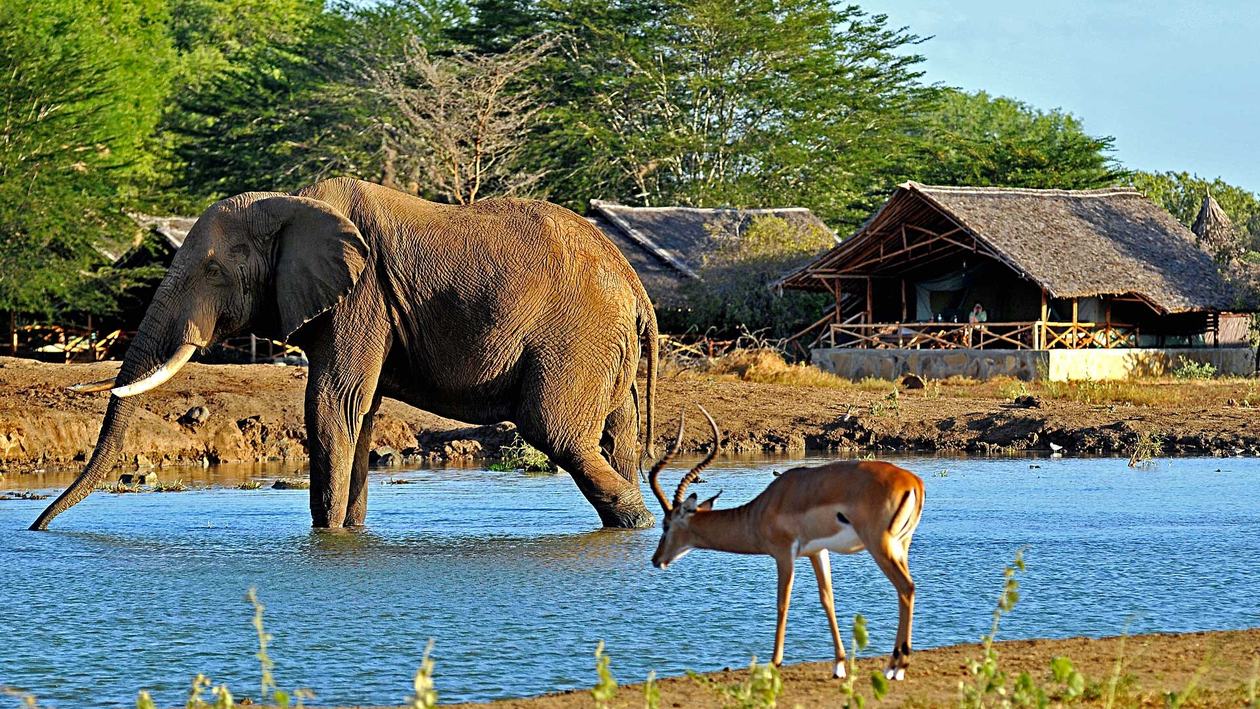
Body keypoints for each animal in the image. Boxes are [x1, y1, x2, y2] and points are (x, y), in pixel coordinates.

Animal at [31, 177, 659, 531]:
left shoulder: (362, 296)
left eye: (212, 271)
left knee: (554, 431)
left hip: (576, 337)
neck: (291, 205)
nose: (38, 529)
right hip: (606, 348)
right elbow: (363, 412)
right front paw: (348, 532)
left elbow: (333, 405)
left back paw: (640, 519)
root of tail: (633, 282)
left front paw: (327, 536)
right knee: (617, 434)